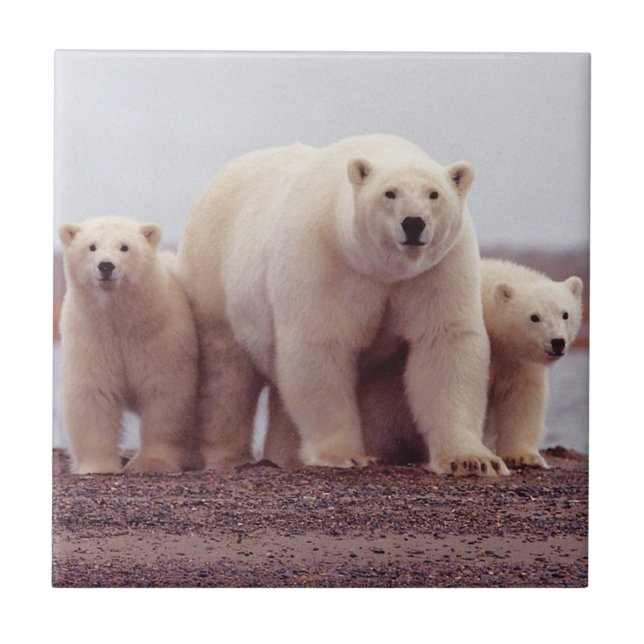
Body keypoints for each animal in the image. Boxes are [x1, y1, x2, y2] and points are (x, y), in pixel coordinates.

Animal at [58, 216, 199, 474]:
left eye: (125, 247)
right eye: (92, 246)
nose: (106, 266)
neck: (121, 321)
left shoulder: (161, 337)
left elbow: (165, 394)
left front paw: (151, 463)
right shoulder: (91, 336)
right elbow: (93, 394)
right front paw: (98, 466)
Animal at [177, 134, 509, 476]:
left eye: (434, 194)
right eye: (390, 193)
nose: (414, 223)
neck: (381, 268)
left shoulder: (437, 268)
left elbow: (445, 341)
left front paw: (472, 460)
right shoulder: (325, 259)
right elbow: (321, 345)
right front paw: (344, 455)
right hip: (213, 276)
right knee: (226, 374)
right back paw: (228, 456)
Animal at [272, 258, 582, 470]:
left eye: (565, 314)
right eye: (534, 317)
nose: (557, 342)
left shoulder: (516, 360)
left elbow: (522, 397)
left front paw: (525, 456)